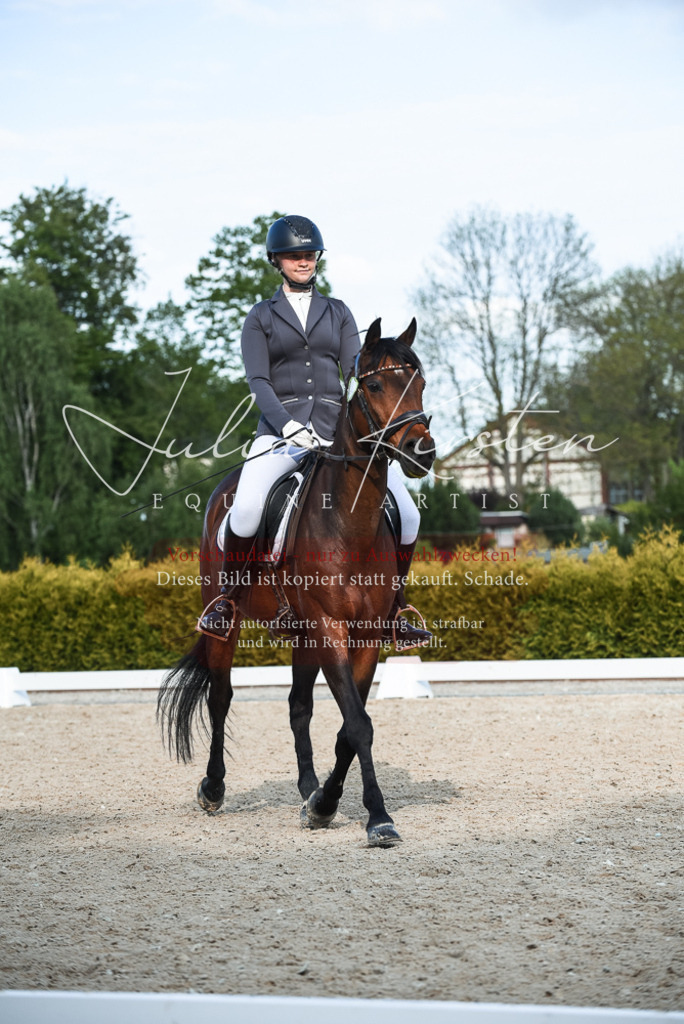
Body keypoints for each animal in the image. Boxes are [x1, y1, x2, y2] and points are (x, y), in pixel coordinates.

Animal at [157, 317, 436, 846]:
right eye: (373, 386)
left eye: (421, 383)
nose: (421, 452)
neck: (349, 523)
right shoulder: (329, 628)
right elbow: (358, 724)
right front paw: (377, 818)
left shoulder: (364, 636)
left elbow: (349, 726)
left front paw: (325, 803)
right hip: (231, 621)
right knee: (221, 697)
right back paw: (213, 788)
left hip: (305, 635)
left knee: (298, 705)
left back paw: (308, 789)